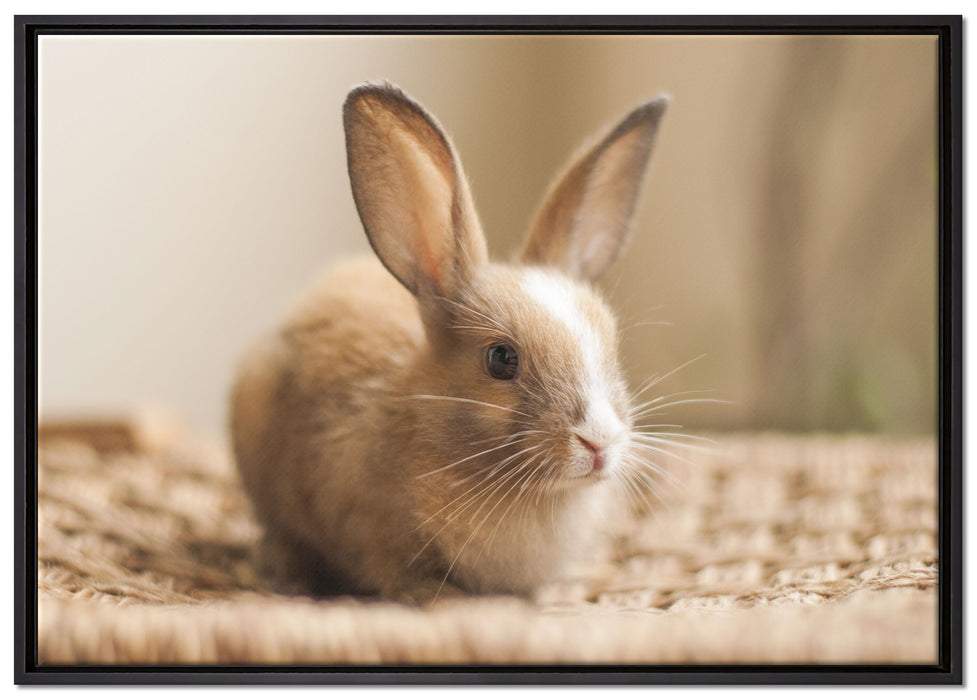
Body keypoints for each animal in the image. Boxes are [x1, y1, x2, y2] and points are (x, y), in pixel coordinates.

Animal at [230, 81, 668, 604]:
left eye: (612, 346)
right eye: (501, 359)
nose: (598, 440)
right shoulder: (369, 528)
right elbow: (396, 574)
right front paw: (443, 598)